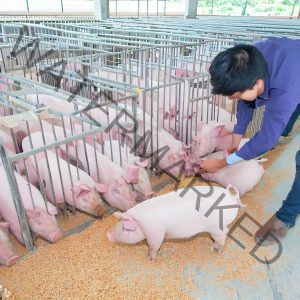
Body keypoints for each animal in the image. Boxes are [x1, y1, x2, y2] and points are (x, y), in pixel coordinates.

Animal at [108, 183, 244, 260]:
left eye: (124, 228)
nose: (108, 234)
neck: (141, 223)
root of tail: (230, 196)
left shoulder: (156, 234)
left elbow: (154, 247)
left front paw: (151, 259)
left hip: (216, 227)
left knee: (223, 235)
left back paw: (215, 251)